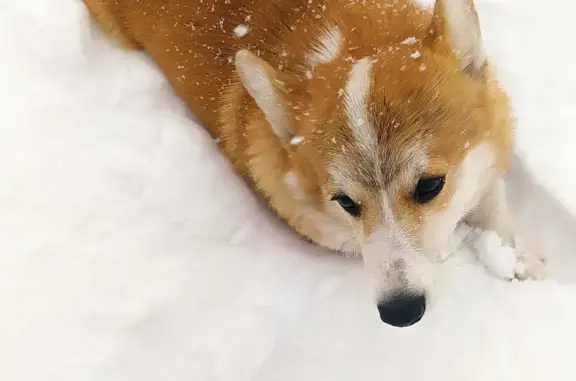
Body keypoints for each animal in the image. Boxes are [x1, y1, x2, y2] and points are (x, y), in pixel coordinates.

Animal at [81, 0, 544, 326]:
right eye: (346, 202)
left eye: (430, 185)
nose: (400, 314)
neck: (347, 42)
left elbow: (491, 199)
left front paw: (522, 264)